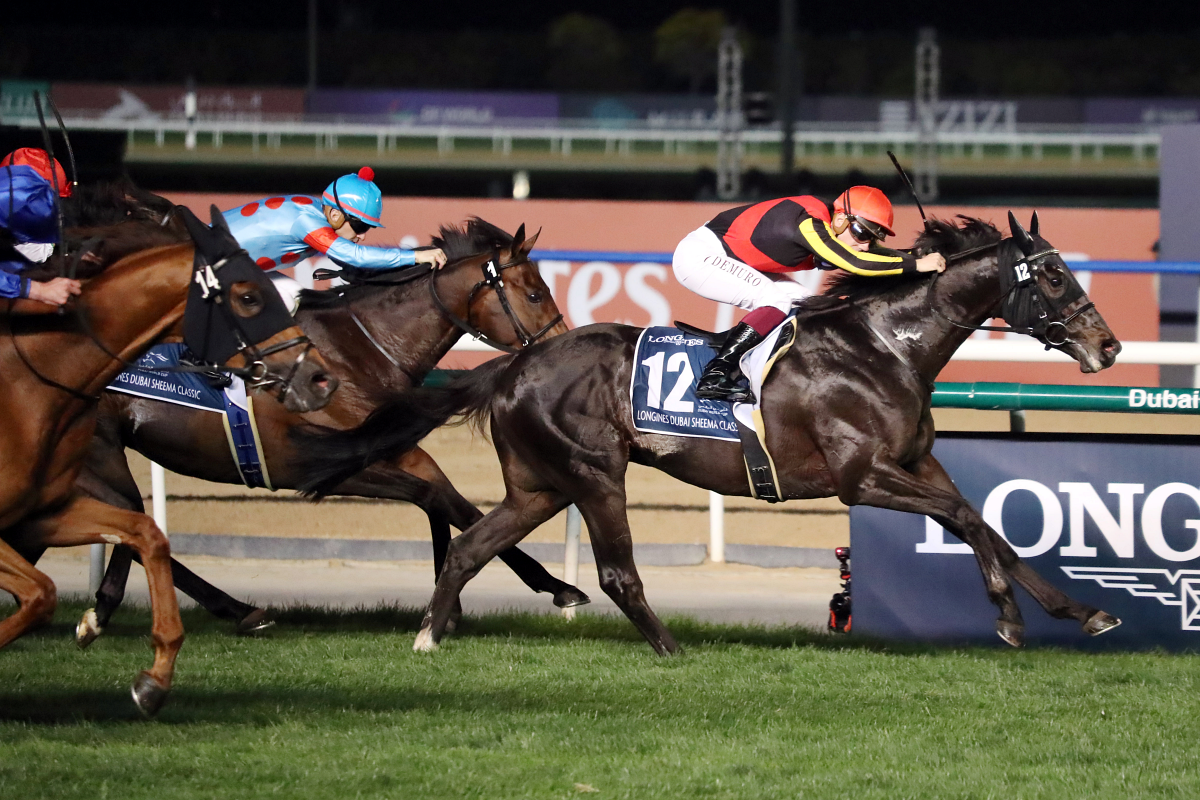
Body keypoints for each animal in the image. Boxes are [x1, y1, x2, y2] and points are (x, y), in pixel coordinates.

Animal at [0, 203, 337, 716]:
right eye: (248, 297)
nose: (321, 379)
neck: (33, 380)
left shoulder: (41, 512)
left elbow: (147, 536)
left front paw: (154, 679)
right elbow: (42, 591)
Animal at [74, 217, 587, 646]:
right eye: (535, 294)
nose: (560, 346)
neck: (354, 352)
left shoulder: (397, 450)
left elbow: (454, 504)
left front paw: (553, 588)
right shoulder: (317, 467)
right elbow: (434, 498)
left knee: (131, 520)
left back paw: (223, 610)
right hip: (96, 449)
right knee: (129, 516)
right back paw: (119, 610)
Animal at [294, 213, 1125, 656]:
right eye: (1053, 275)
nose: (1110, 345)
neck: (885, 346)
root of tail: (513, 365)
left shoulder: (918, 461)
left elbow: (986, 526)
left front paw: (1071, 611)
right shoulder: (861, 477)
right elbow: (962, 519)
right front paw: (1017, 617)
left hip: (540, 485)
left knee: (471, 544)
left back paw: (431, 634)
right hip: (594, 472)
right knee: (615, 572)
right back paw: (668, 646)